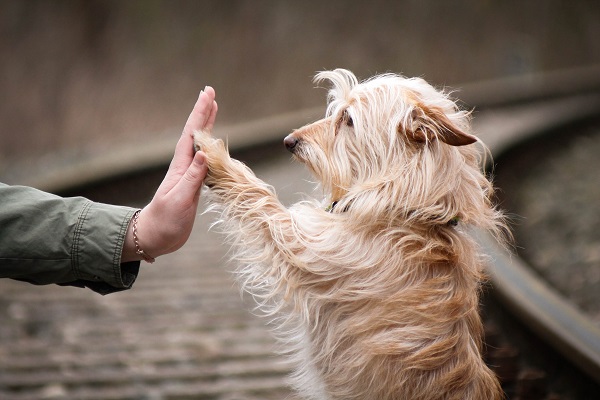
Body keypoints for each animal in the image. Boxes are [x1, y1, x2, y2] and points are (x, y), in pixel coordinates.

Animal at [195, 69, 508, 400]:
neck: (408, 213)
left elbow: (259, 197)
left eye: (348, 119)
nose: (289, 141)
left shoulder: (305, 246)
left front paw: (212, 153)